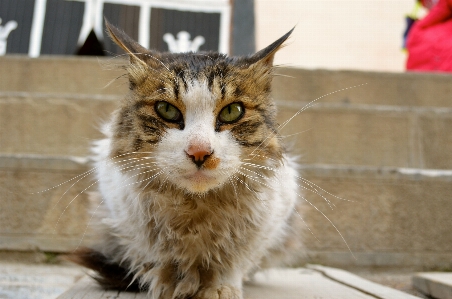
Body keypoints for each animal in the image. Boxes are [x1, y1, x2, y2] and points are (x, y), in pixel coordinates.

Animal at [69, 21, 304, 299]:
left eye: (232, 111)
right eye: (166, 110)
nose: (199, 152)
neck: (195, 207)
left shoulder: (274, 215)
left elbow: (234, 259)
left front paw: (220, 288)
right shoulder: (122, 211)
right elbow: (159, 254)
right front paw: (169, 284)